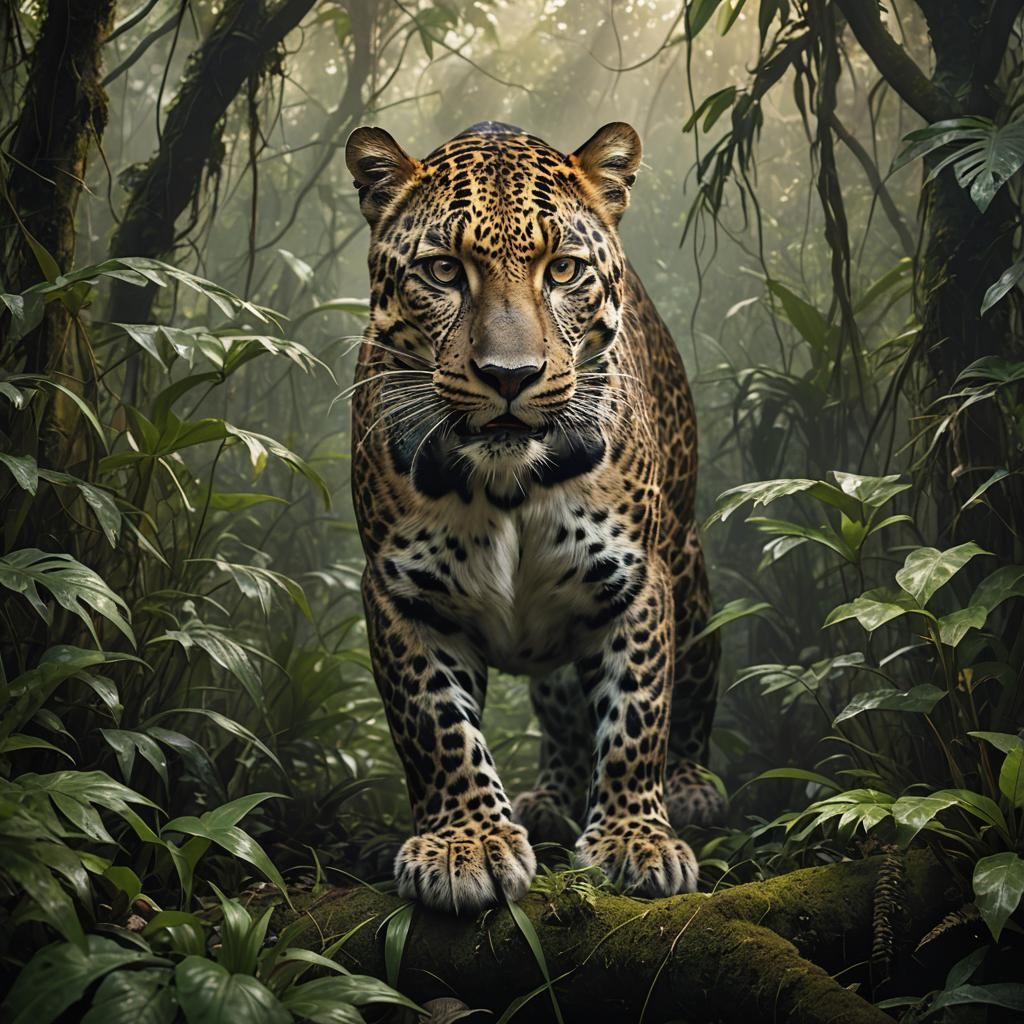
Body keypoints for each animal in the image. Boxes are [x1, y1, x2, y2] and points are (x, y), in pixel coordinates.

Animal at [344, 120, 722, 914]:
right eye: (444, 271)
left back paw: (692, 788)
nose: (510, 377)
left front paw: (635, 841)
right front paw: (466, 845)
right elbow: (436, 725)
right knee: (561, 709)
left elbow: (639, 712)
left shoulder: (638, 581)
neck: (507, 483)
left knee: (691, 688)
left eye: (563, 271)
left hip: (690, 572)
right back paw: (548, 798)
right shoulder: (400, 593)